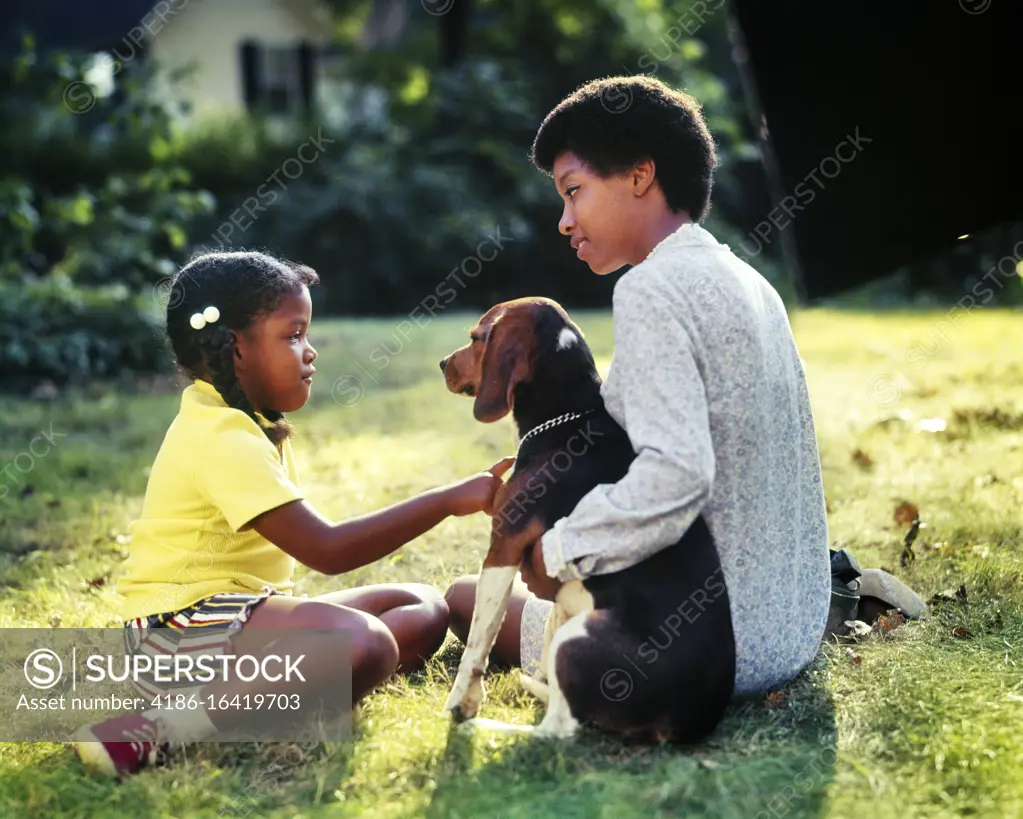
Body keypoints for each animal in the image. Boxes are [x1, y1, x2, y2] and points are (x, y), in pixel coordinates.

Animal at [439, 296, 736, 740]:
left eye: (476, 337)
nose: (442, 363)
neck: (569, 415)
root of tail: (691, 722)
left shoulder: (503, 544)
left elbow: (478, 640)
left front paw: (463, 703)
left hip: (577, 638)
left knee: (558, 732)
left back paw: (488, 726)